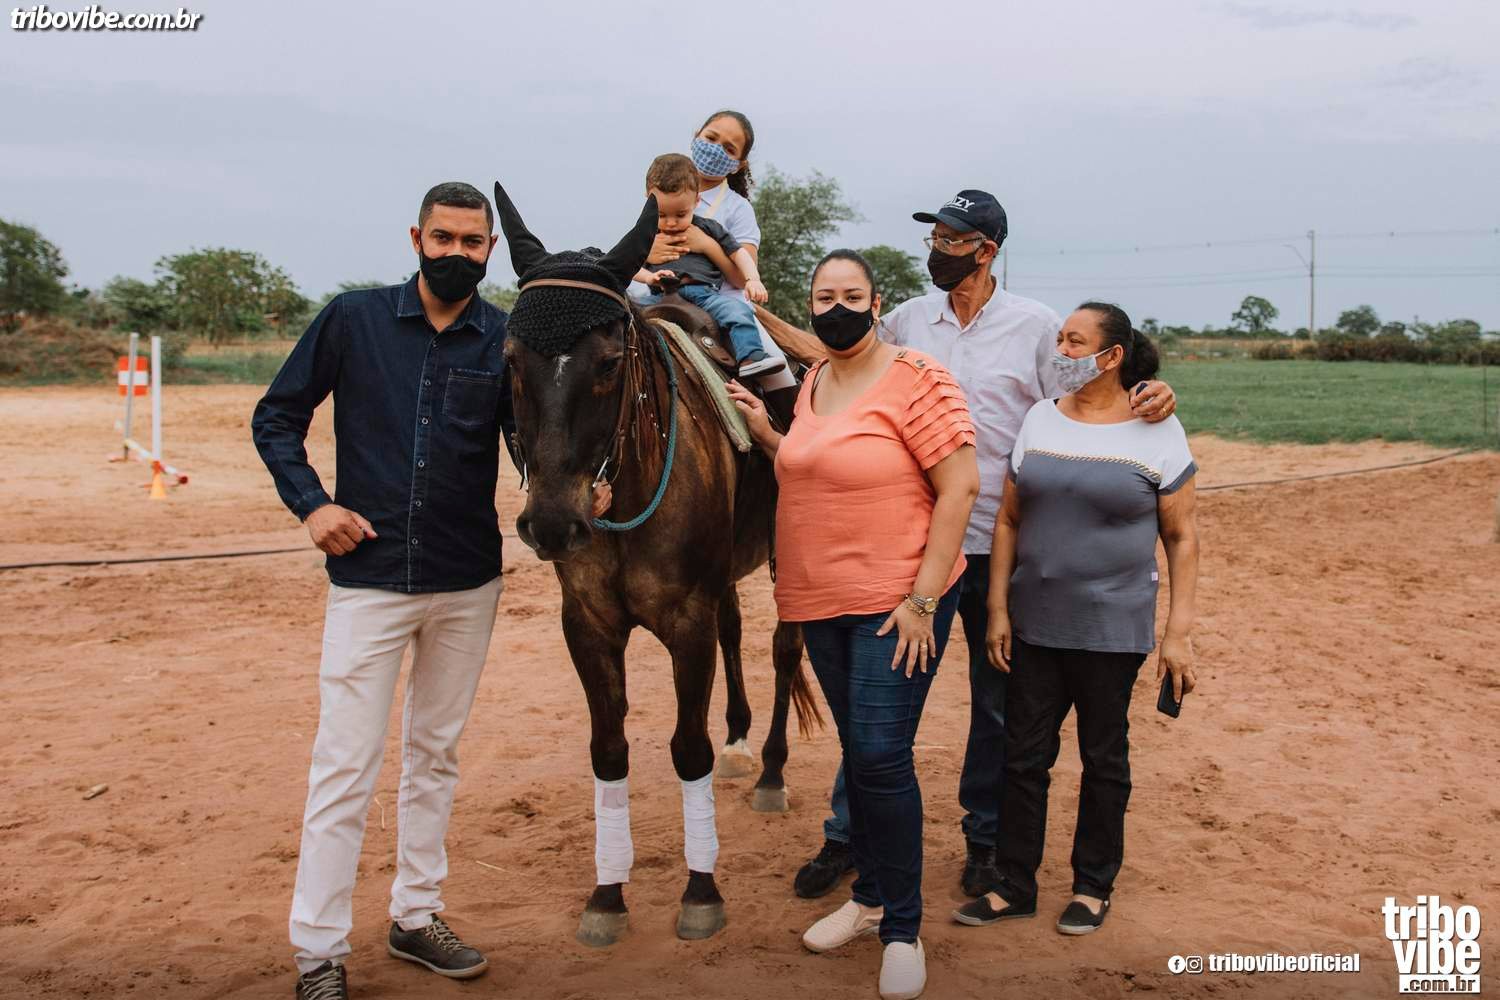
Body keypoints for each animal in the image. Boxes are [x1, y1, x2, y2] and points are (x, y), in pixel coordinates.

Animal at [491, 182, 818, 947]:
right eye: (512, 359)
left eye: (610, 363)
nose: (553, 522)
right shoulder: (587, 625)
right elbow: (608, 750)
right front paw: (607, 896)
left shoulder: (685, 621)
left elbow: (687, 748)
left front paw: (701, 891)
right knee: (737, 630)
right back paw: (740, 741)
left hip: (785, 558)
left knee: (783, 648)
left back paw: (770, 772)